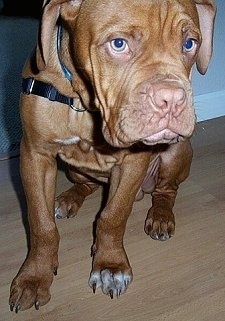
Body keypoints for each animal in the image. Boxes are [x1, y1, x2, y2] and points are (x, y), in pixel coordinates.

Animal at [9, 0, 216, 312]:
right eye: (118, 44)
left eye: (189, 43)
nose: (172, 100)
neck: (83, 101)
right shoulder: (35, 154)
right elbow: (41, 224)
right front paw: (34, 277)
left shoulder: (133, 162)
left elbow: (113, 216)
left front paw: (110, 266)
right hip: (74, 169)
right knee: (87, 184)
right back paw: (68, 200)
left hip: (176, 151)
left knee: (166, 190)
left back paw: (160, 216)